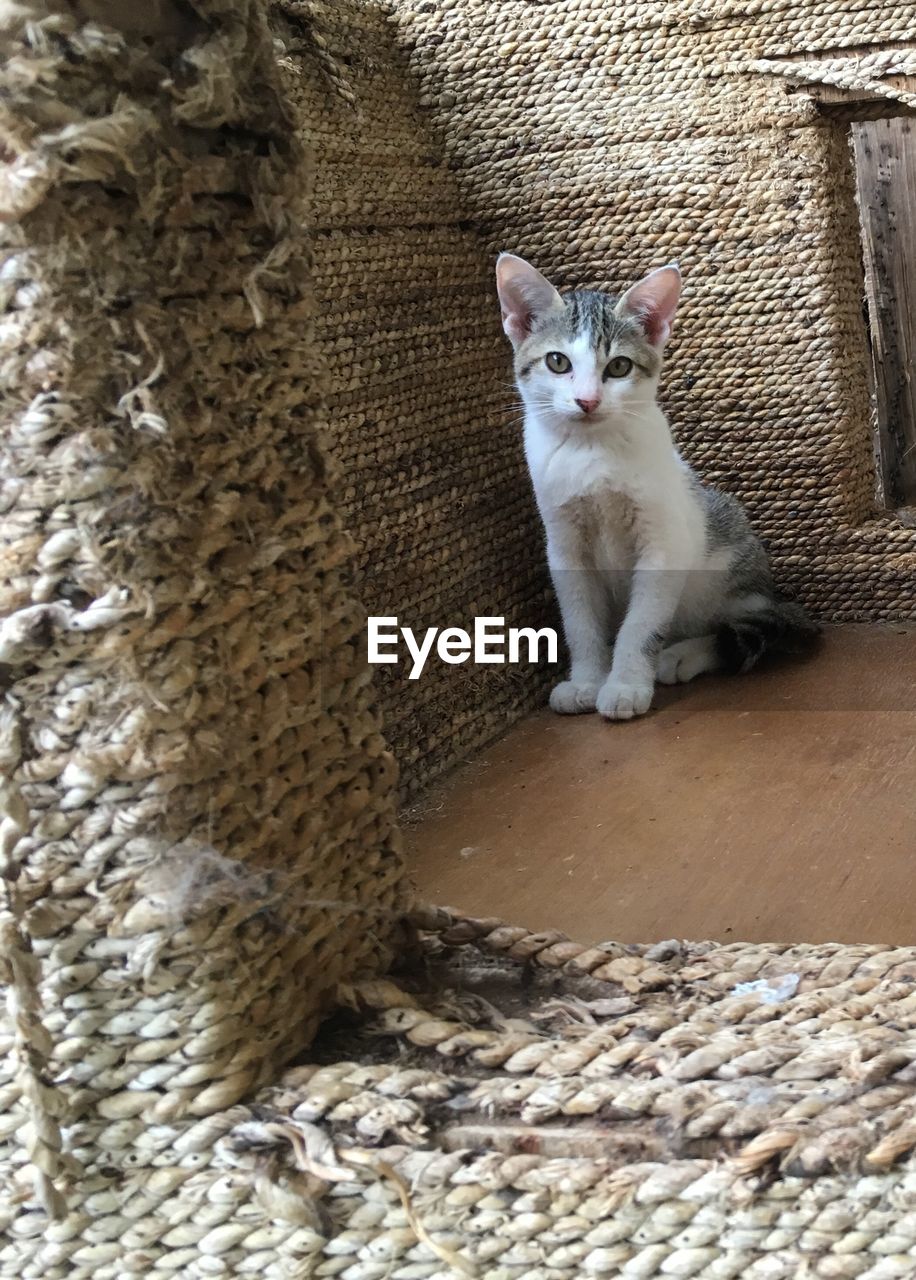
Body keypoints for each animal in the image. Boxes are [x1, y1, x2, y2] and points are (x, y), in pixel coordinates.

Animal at [496, 254, 818, 721]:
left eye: (619, 366)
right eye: (558, 362)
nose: (588, 401)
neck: (593, 449)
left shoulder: (664, 545)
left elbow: (642, 623)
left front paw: (626, 684)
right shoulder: (565, 546)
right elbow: (580, 622)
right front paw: (587, 681)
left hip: (726, 561)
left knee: (737, 626)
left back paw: (681, 655)